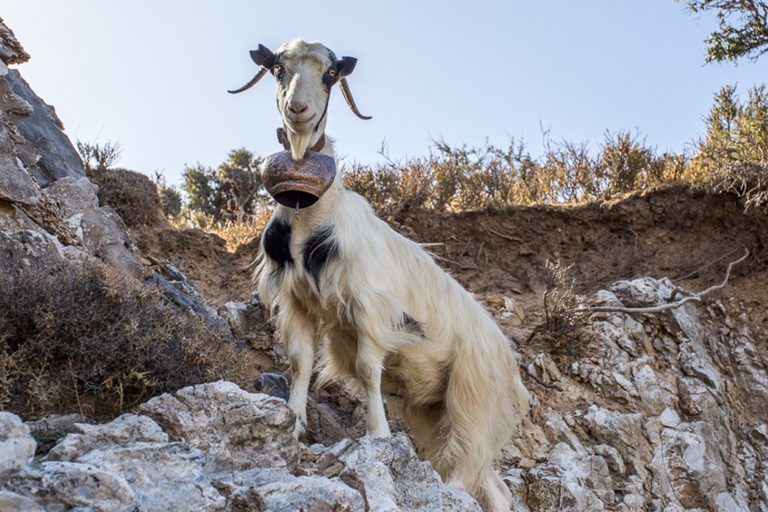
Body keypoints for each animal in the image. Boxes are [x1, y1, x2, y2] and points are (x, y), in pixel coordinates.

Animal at [231, 38, 532, 510]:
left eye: (330, 74)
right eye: (278, 68)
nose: (298, 109)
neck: (310, 218)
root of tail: (509, 362)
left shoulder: (370, 311)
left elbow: (368, 368)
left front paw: (377, 435)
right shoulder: (298, 302)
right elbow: (300, 362)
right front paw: (294, 424)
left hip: (471, 399)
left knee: (466, 465)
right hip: (432, 409)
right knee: (491, 484)